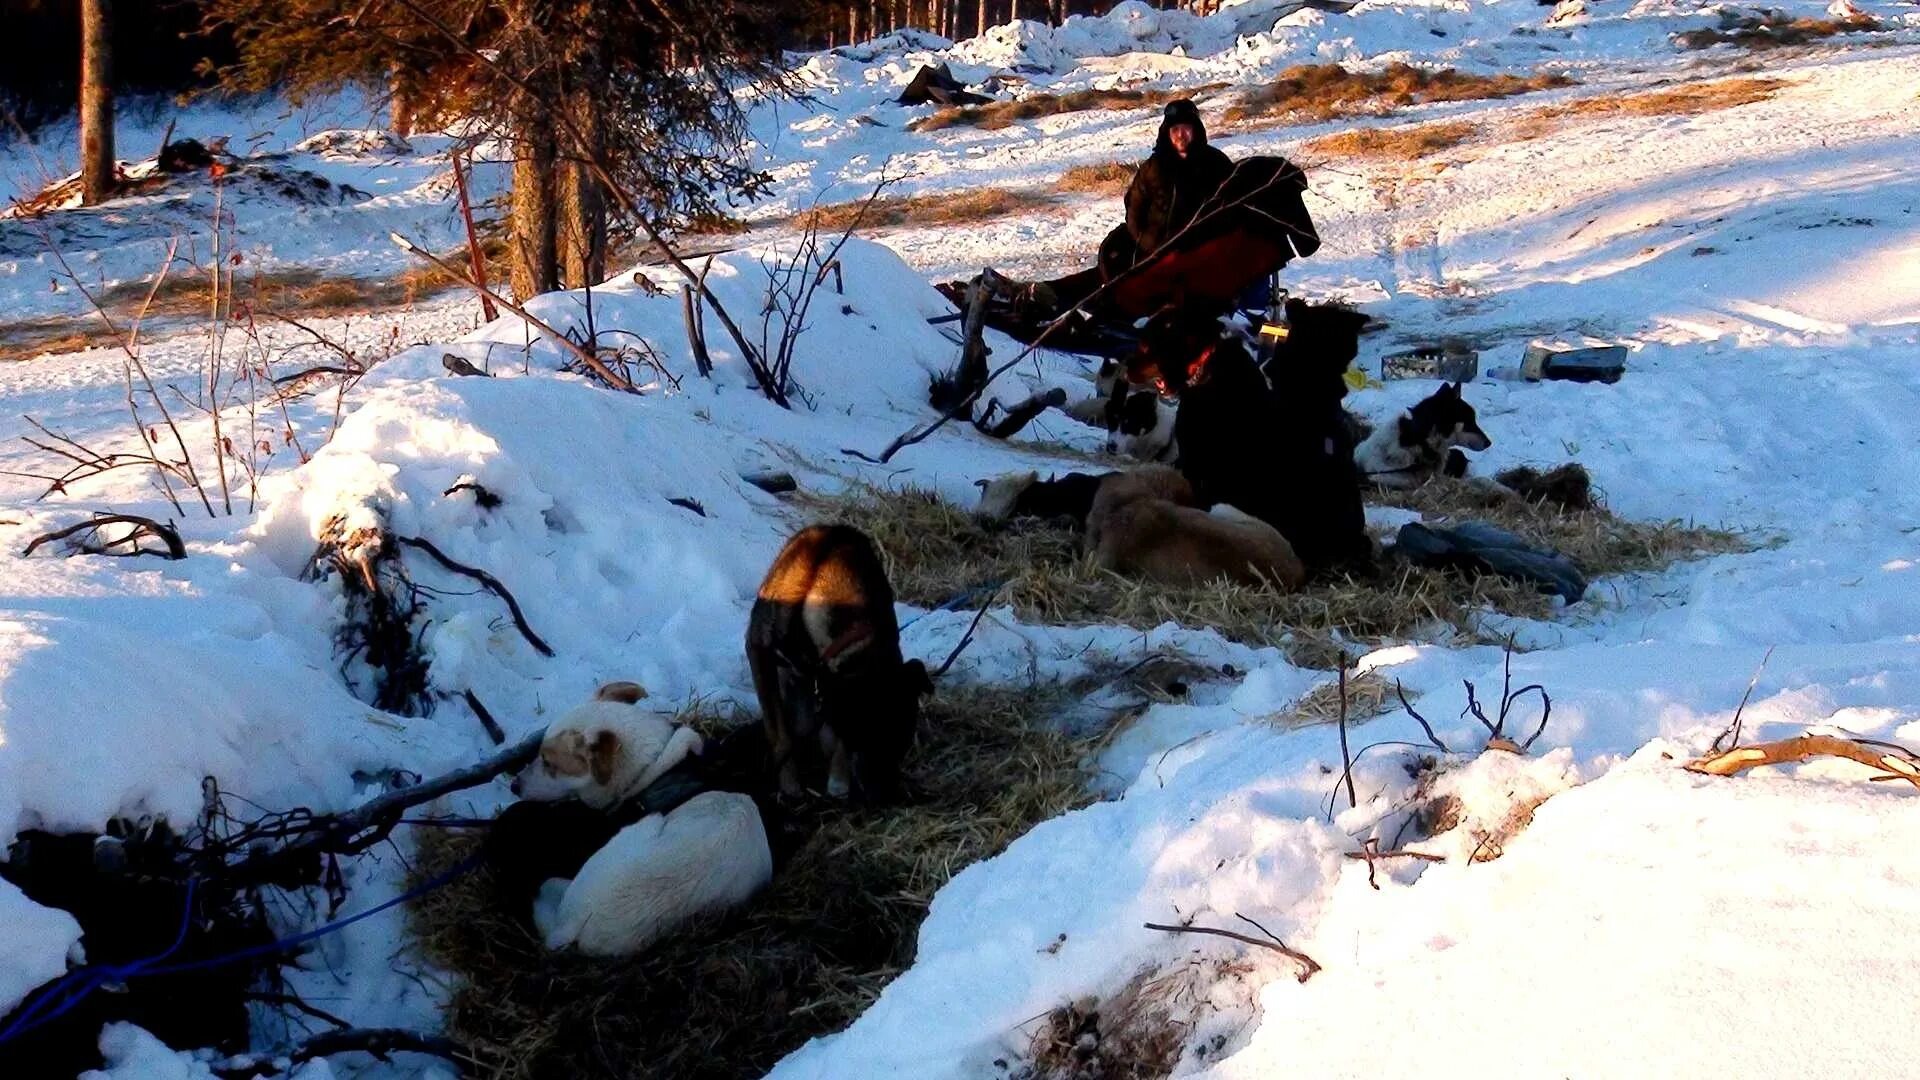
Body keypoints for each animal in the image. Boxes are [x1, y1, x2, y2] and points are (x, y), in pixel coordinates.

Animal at [744, 522, 933, 799]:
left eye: (902, 742)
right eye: (867, 737)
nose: (886, 794)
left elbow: (834, 739)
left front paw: (838, 781)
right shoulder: (759, 652)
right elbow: (780, 736)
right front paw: (790, 785)